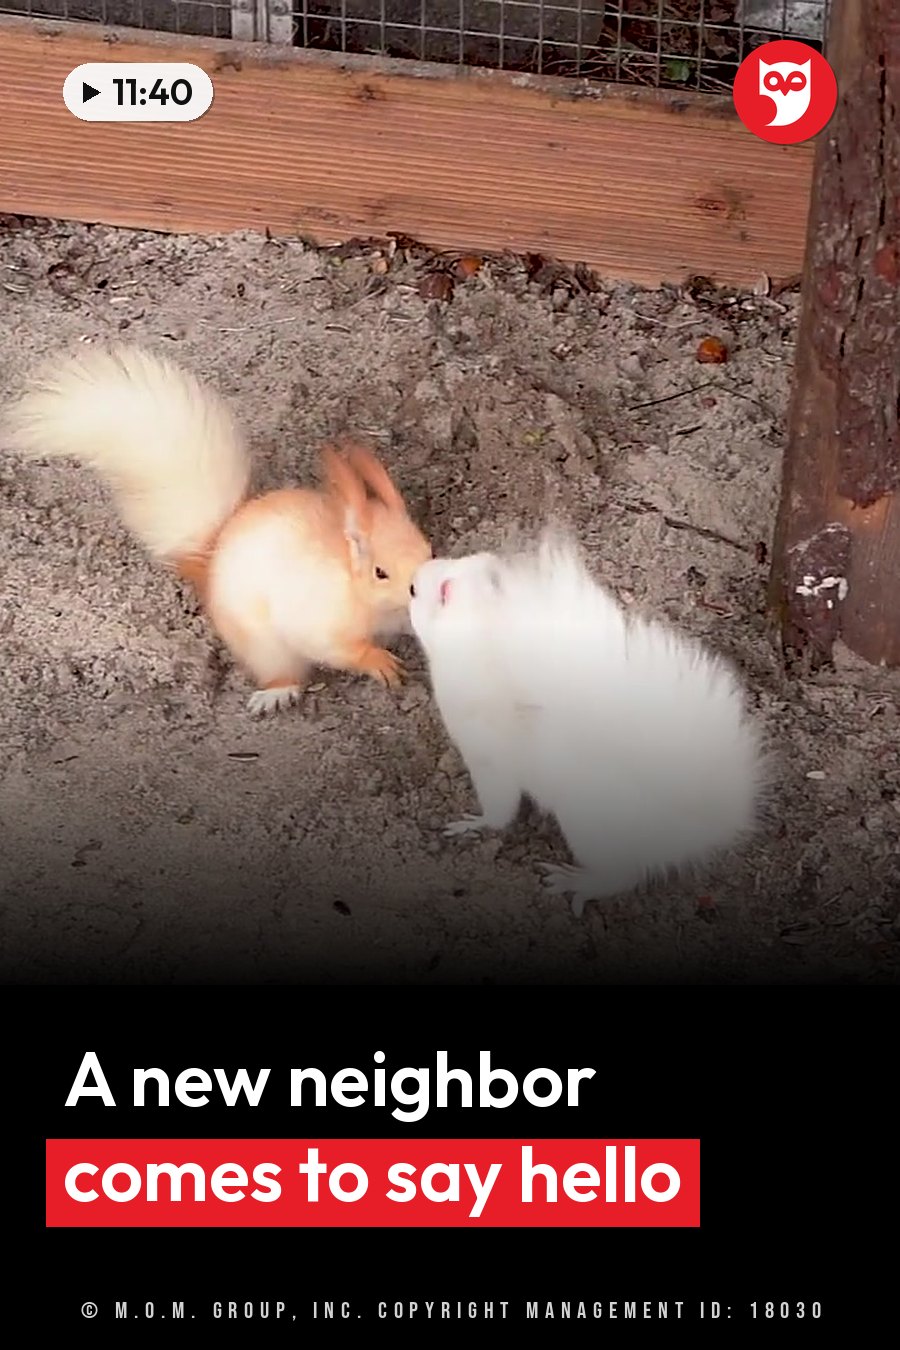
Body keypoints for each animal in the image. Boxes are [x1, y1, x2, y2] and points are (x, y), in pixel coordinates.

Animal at [3, 343, 432, 715]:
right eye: (380, 572)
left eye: (430, 551)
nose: (426, 589)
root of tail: (211, 558)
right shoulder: (318, 619)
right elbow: (334, 648)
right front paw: (378, 661)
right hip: (264, 645)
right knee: (281, 670)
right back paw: (277, 693)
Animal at [408, 530, 764, 917]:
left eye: (418, 591)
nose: (415, 575)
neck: (482, 638)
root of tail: (696, 826)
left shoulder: (489, 759)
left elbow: (499, 811)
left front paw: (472, 824)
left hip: (587, 827)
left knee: (622, 876)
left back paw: (577, 883)